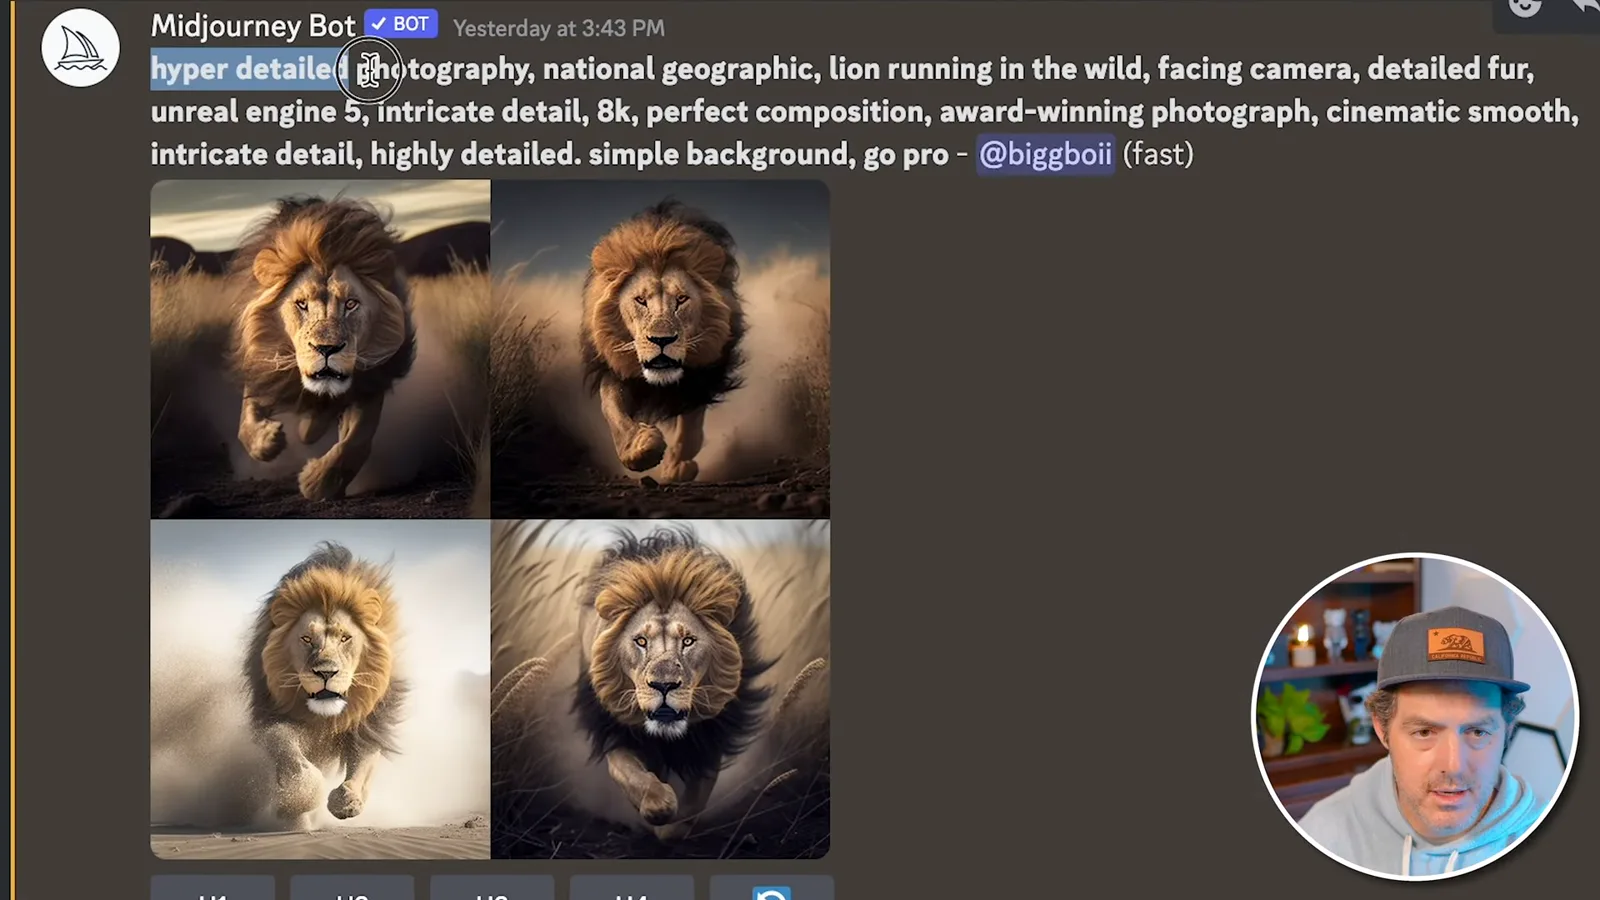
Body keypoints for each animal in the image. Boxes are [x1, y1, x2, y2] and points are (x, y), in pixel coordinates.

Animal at [230, 196, 417, 500]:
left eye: (351, 304)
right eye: (301, 304)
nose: (327, 349)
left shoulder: (370, 382)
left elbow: (356, 442)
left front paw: (317, 483)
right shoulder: (263, 367)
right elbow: (245, 420)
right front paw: (268, 440)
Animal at [244, 541, 407, 829]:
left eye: (345, 638)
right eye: (306, 638)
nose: (326, 672)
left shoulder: (370, 725)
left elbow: (361, 767)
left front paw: (347, 802)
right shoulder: (273, 715)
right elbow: (284, 748)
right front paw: (298, 799)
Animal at [571, 526, 772, 840]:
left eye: (688, 641)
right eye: (640, 641)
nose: (664, 686)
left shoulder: (710, 738)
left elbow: (694, 800)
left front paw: (671, 829)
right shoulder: (615, 732)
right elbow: (629, 774)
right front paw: (657, 807)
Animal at [579, 199, 746, 484]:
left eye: (681, 299)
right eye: (640, 300)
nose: (662, 340)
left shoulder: (701, 377)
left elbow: (691, 427)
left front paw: (676, 467)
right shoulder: (614, 368)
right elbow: (612, 407)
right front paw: (640, 449)